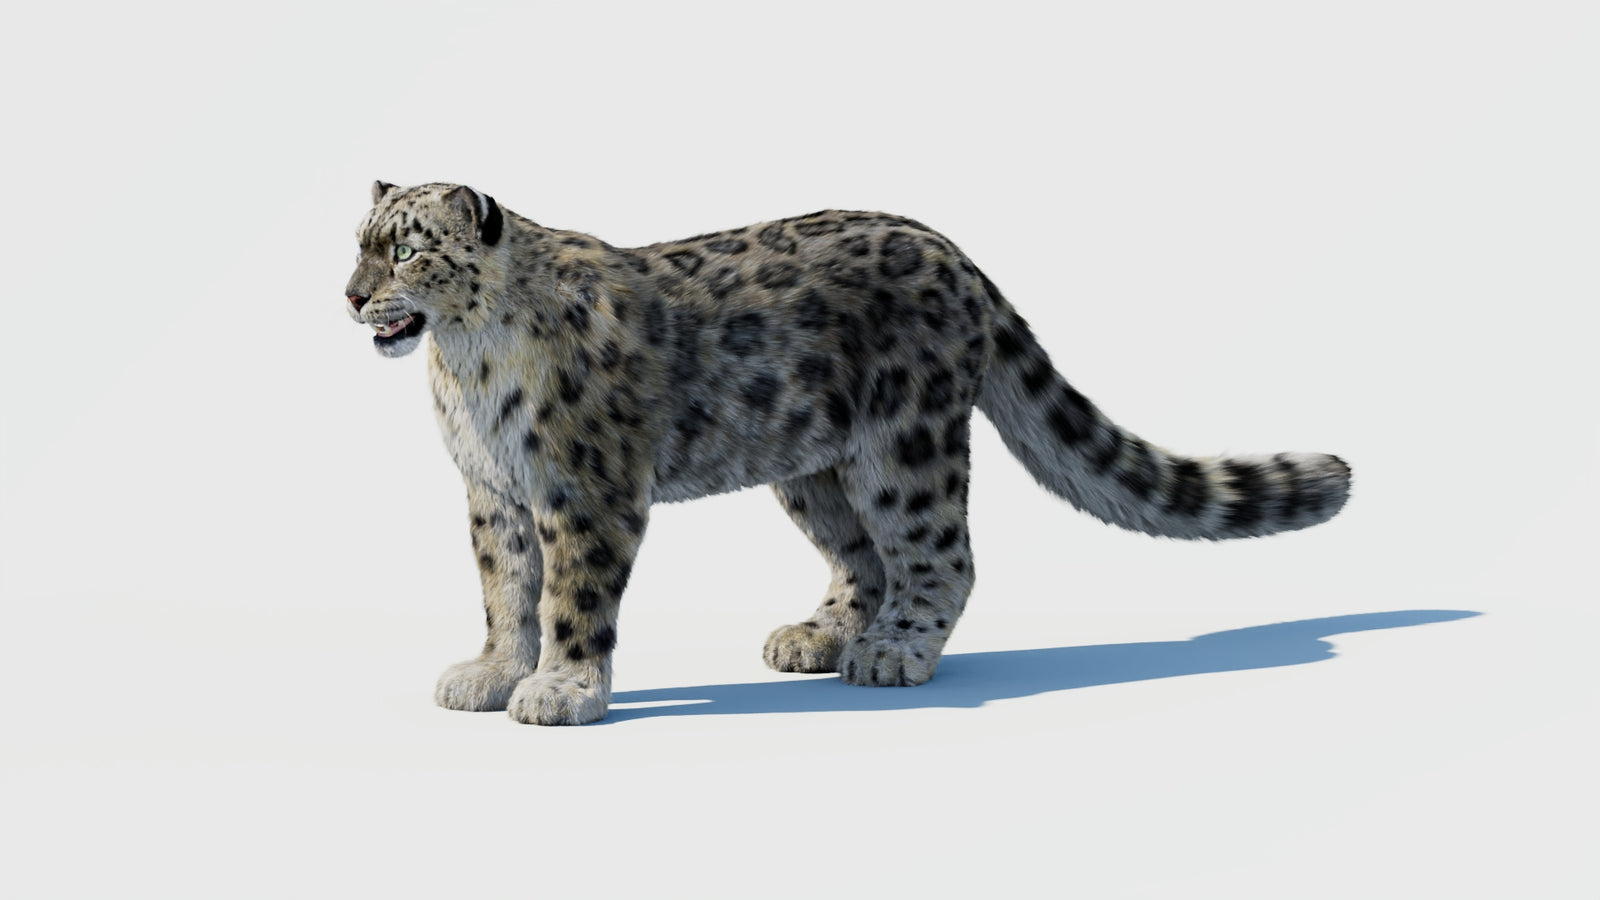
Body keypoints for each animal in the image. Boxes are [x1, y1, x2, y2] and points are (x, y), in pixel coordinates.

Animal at [344, 181, 1351, 726]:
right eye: (358, 245)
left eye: (408, 252)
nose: (351, 296)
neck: (465, 366)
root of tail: (956, 254)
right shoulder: (494, 494)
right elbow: (504, 590)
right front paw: (490, 673)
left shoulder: (584, 493)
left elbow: (570, 598)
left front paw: (561, 690)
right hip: (815, 469)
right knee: (862, 556)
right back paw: (824, 637)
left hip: (905, 447)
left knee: (942, 553)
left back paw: (894, 652)